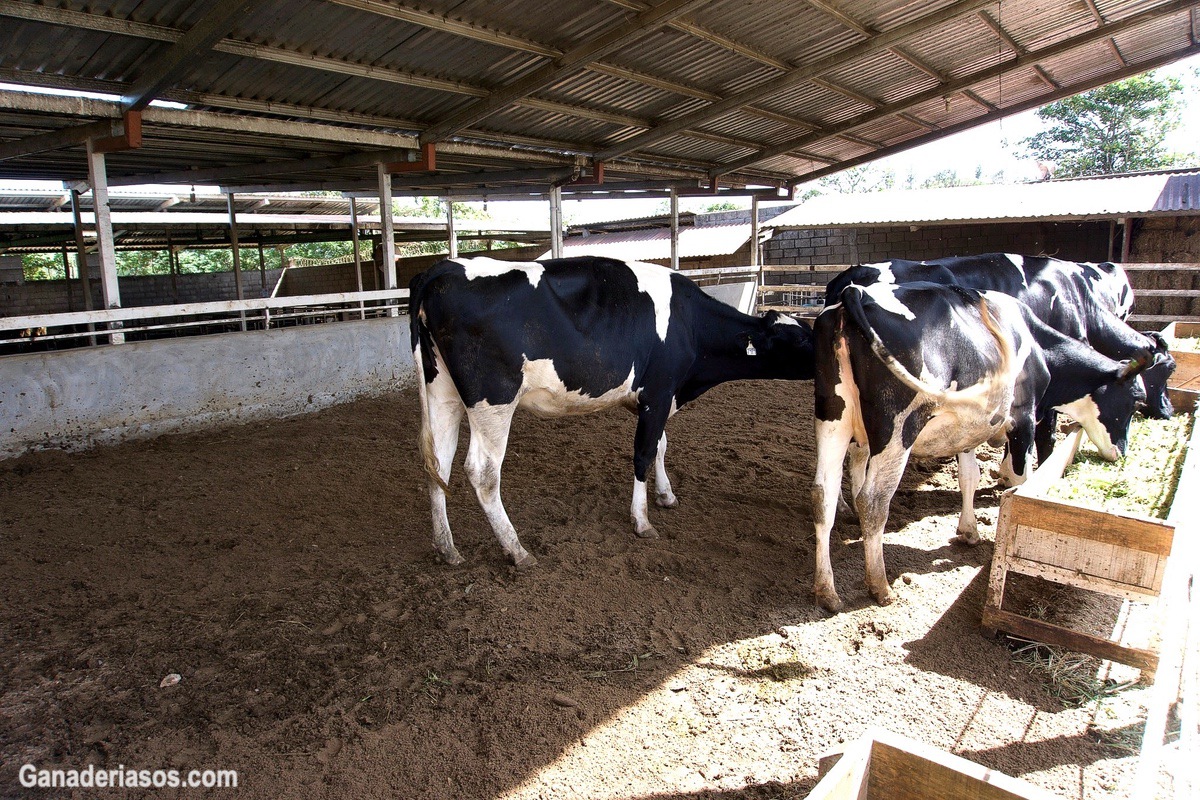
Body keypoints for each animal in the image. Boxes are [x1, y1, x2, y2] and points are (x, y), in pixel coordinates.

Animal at [410, 257, 816, 568]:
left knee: (438, 463)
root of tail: (442, 269)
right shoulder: (659, 392)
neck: (690, 326)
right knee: (482, 472)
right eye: (799, 338)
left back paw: (446, 548)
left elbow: (662, 446)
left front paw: (666, 495)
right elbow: (643, 453)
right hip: (493, 400)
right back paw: (517, 550)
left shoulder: (657, 398)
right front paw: (642, 520)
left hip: (442, 392)